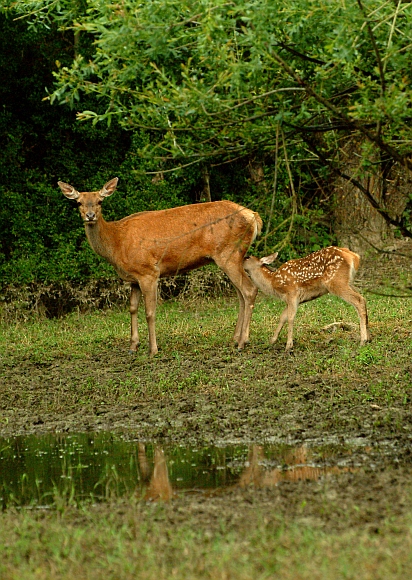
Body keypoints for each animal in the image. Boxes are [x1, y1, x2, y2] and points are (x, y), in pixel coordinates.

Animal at [58, 177, 260, 356]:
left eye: (100, 201)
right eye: (78, 202)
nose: (90, 216)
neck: (117, 243)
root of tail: (253, 216)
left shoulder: (148, 271)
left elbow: (150, 312)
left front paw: (153, 350)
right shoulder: (133, 278)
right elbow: (132, 308)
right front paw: (133, 346)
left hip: (229, 254)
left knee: (249, 290)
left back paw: (242, 342)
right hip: (232, 257)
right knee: (240, 295)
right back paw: (235, 338)